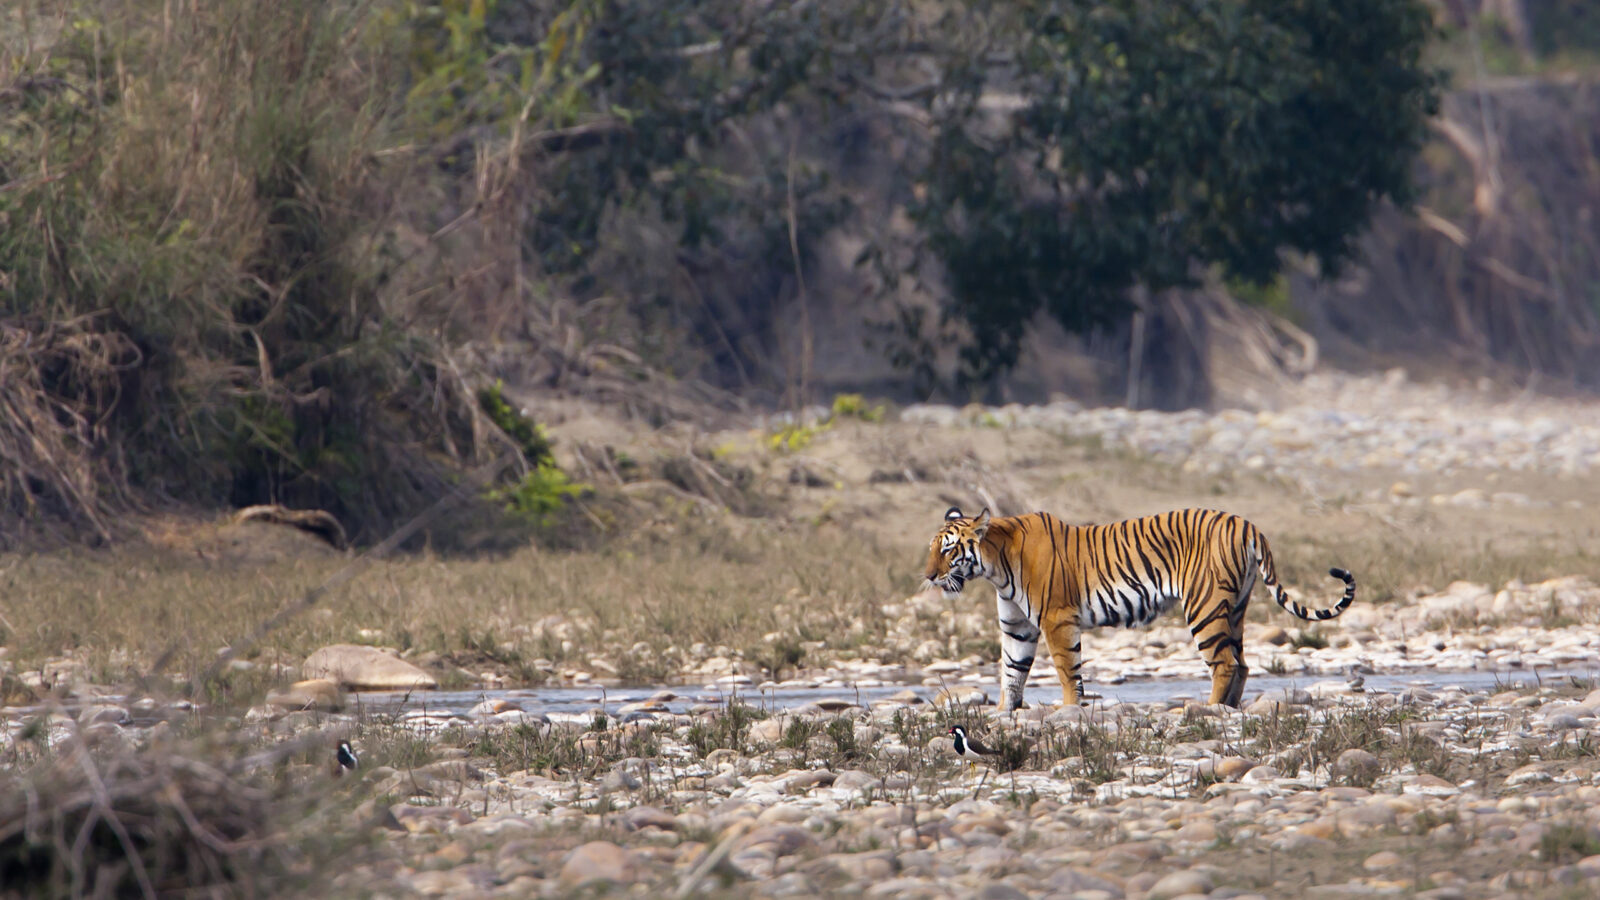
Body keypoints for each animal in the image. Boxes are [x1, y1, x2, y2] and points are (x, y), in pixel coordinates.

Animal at [922, 506, 1356, 709]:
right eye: (932, 548)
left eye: (948, 550)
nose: (927, 576)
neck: (995, 566)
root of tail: (1248, 524)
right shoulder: (1017, 627)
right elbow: (1011, 674)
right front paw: (1004, 714)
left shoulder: (1057, 621)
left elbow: (1067, 673)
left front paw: (1069, 711)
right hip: (1234, 608)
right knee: (1243, 663)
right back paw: (1228, 709)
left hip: (1204, 606)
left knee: (1225, 663)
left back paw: (1209, 710)